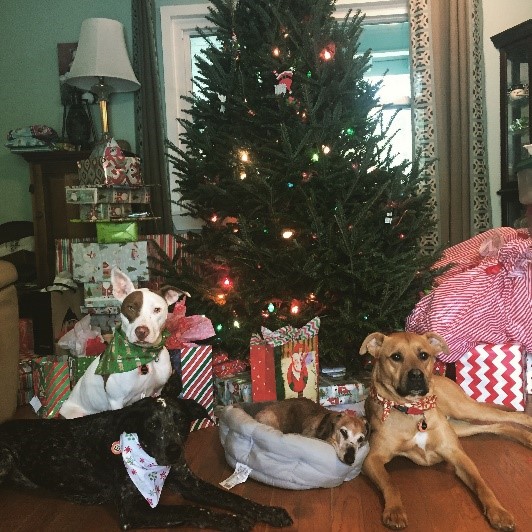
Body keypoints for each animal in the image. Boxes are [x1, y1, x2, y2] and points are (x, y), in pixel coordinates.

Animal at [59, 268, 188, 418]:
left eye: (157, 310)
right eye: (131, 307)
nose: (141, 331)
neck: (142, 355)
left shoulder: (157, 392)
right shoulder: (116, 401)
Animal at [362, 330, 532, 528]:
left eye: (423, 355)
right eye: (396, 357)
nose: (416, 375)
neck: (414, 411)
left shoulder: (456, 454)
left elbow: (481, 483)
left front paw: (498, 511)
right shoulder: (372, 459)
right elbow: (390, 483)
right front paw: (395, 510)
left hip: (465, 409)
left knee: (515, 417)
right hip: (460, 425)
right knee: (498, 425)